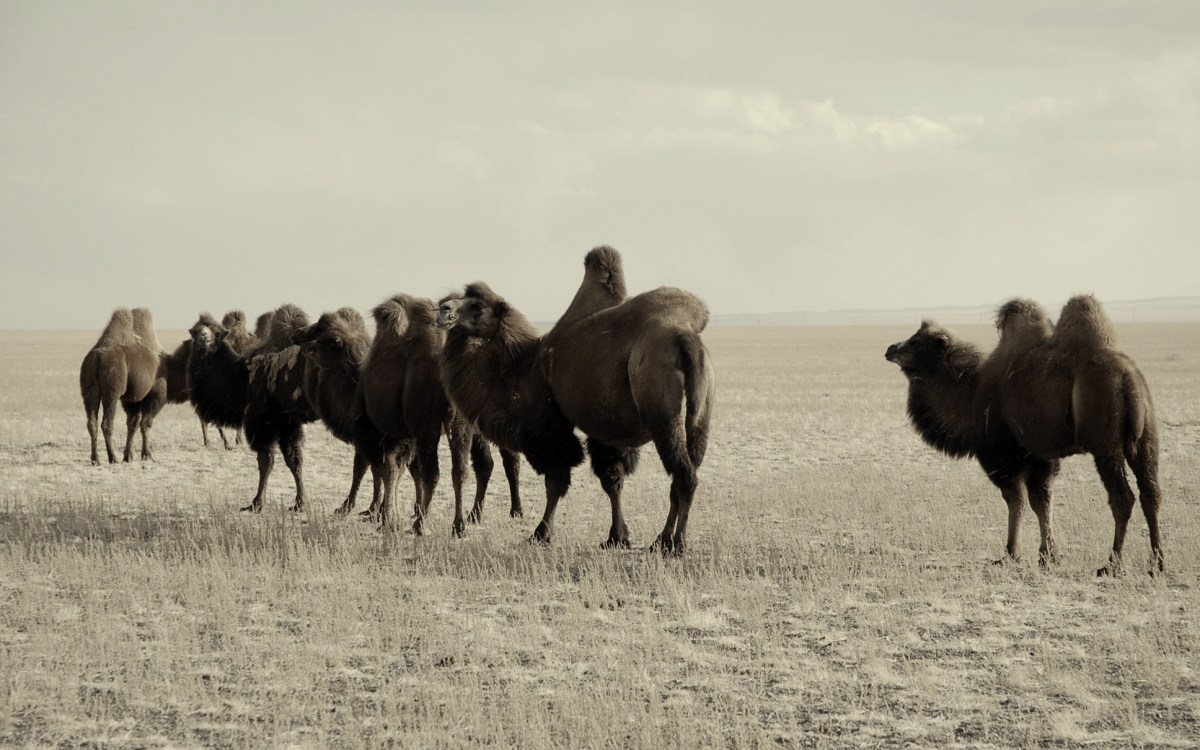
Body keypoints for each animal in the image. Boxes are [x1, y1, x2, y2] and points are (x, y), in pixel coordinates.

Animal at [80, 307, 167, 465]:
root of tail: (96, 357)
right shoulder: (154, 395)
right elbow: (146, 423)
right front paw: (147, 455)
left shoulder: (131, 399)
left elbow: (132, 423)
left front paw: (129, 456)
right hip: (112, 388)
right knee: (107, 422)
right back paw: (112, 457)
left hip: (88, 388)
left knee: (92, 422)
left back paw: (96, 459)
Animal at [437, 248, 715, 552]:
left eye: (477, 306)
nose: (443, 309)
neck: (525, 368)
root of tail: (685, 337)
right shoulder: (604, 430)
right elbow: (612, 481)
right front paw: (617, 537)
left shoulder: (549, 429)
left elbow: (556, 482)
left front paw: (540, 533)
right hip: (699, 418)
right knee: (684, 473)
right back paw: (661, 541)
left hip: (663, 417)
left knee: (684, 477)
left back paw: (676, 544)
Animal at [885, 295, 1162, 575]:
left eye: (916, 342)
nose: (890, 349)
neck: (971, 397)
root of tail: (1128, 379)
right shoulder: (1039, 455)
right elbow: (1041, 500)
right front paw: (1048, 555)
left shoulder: (1001, 454)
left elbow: (1016, 500)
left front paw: (1011, 553)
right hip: (1146, 437)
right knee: (1151, 492)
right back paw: (1157, 562)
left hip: (1105, 443)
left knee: (1123, 497)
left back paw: (1111, 564)